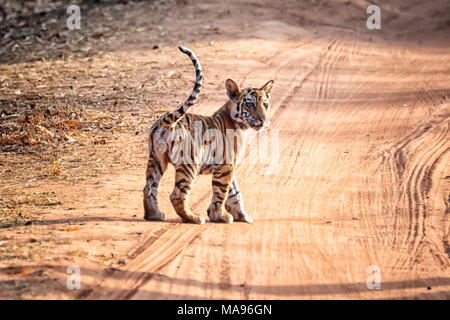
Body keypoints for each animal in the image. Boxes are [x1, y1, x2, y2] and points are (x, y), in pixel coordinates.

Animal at [143, 45, 274, 225]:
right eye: (251, 105)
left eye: (265, 104)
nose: (263, 119)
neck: (240, 125)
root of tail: (166, 121)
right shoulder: (226, 165)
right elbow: (222, 192)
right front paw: (219, 216)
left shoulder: (229, 165)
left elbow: (234, 192)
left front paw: (242, 215)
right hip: (189, 164)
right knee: (176, 195)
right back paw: (193, 218)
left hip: (156, 159)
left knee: (149, 188)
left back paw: (154, 214)